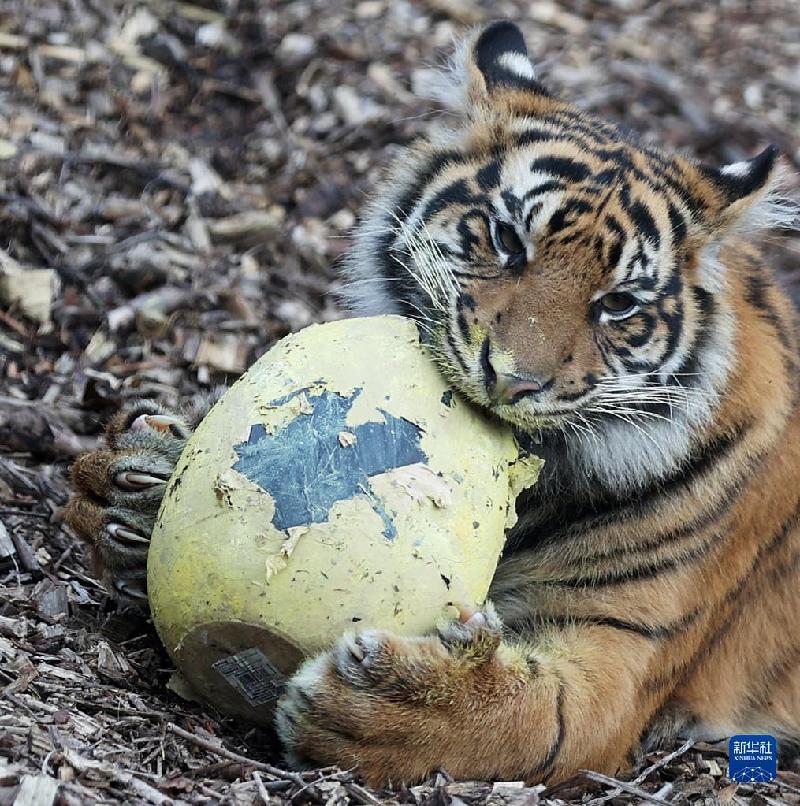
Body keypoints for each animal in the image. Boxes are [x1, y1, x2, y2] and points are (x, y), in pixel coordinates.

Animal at [64, 20, 800, 788]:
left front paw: (389, 707)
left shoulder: (620, 659)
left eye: (619, 304)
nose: (512, 379)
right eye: (507, 239)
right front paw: (132, 487)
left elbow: (531, 722)